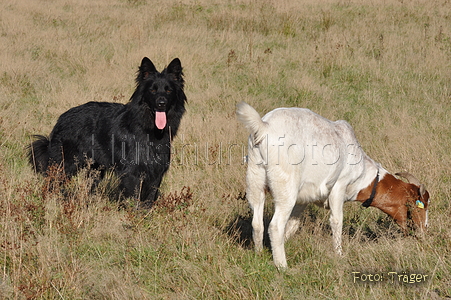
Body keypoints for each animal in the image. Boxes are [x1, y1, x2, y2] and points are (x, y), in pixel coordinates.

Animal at [28, 56, 187, 206]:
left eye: (168, 90)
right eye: (152, 90)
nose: (161, 103)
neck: (149, 129)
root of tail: (62, 118)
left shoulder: (156, 173)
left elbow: (148, 201)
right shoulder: (132, 173)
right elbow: (134, 200)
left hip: (95, 169)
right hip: (66, 165)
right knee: (52, 184)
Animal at [237, 102, 430, 268]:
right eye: (420, 206)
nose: (425, 229)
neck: (364, 174)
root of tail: (264, 127)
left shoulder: (303, 199)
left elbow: (293, 224)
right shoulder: (339, 187)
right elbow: (337, 221)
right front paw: (339, 254)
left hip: (255, 178)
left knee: (257, 222)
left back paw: (259, 254)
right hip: (286, 187)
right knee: (275, 225)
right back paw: (282, 266)